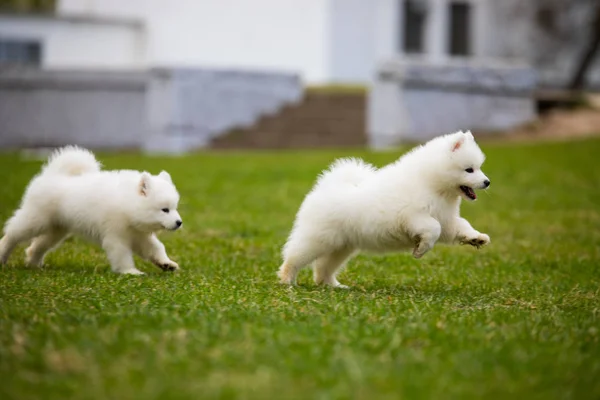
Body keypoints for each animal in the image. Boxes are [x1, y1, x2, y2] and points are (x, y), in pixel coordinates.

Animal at [0, 147, 183, 276]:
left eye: (175, 208)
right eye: (165, 209)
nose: (179, 222)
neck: (127, 203)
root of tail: (51, 175)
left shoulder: (138, 235)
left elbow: (156, 248)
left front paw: (166, 263)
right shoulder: (116, 235)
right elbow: (122, 254)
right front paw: (130, 272)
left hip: (57, 229)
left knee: (37, 246)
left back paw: (34, 264)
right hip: (36, 219)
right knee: (13, 234)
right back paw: (3, 255)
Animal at [278, 130, 490, 288]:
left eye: (479, 167)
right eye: (469, 169)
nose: (487, 182)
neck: (433, 185)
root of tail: (326, 186)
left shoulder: (447, 219)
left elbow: (461, 226)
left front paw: (476, 238)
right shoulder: (414, 216)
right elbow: (433, 228)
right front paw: (420, 250)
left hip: (341, 246)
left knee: (323, 267)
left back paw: (333, 285)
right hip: (317, 239)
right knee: (294, 256)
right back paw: (287, 280)